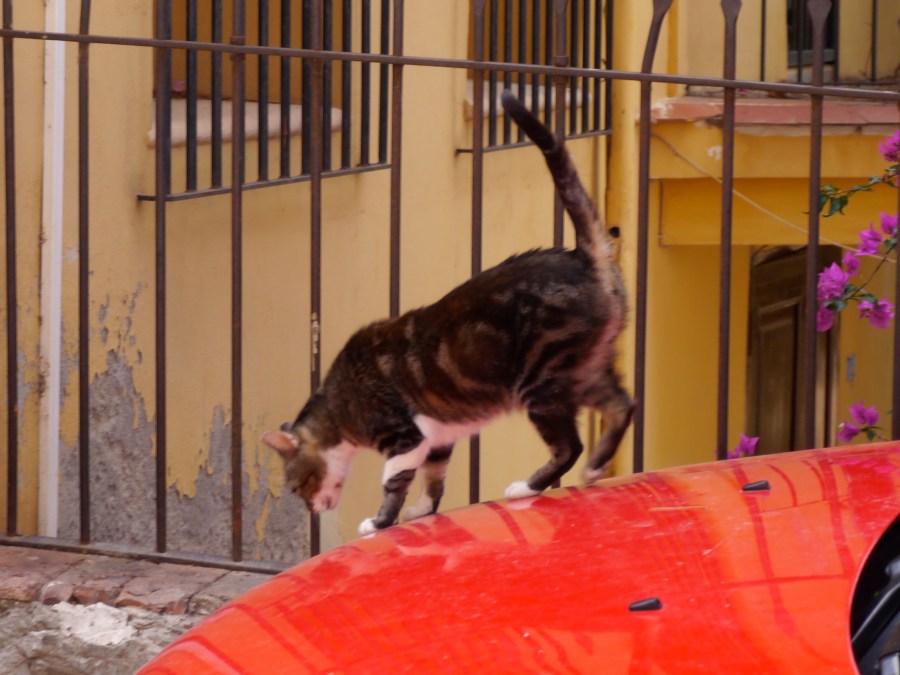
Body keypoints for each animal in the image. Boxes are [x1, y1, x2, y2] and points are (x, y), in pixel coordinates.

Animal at [263, 90, 634, 536]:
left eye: (296, 486)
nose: (311, 508)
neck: (340, 403)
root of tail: (584, 257)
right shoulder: (437, 440)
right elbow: (434, 479)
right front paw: (422, 512)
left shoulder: (403, 437)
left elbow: (394, 482)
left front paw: (380, 522)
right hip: (584, 372)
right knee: (623, 406)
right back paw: (595, 468)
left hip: (543, 383)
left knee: (569, 445)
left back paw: (527, 486)